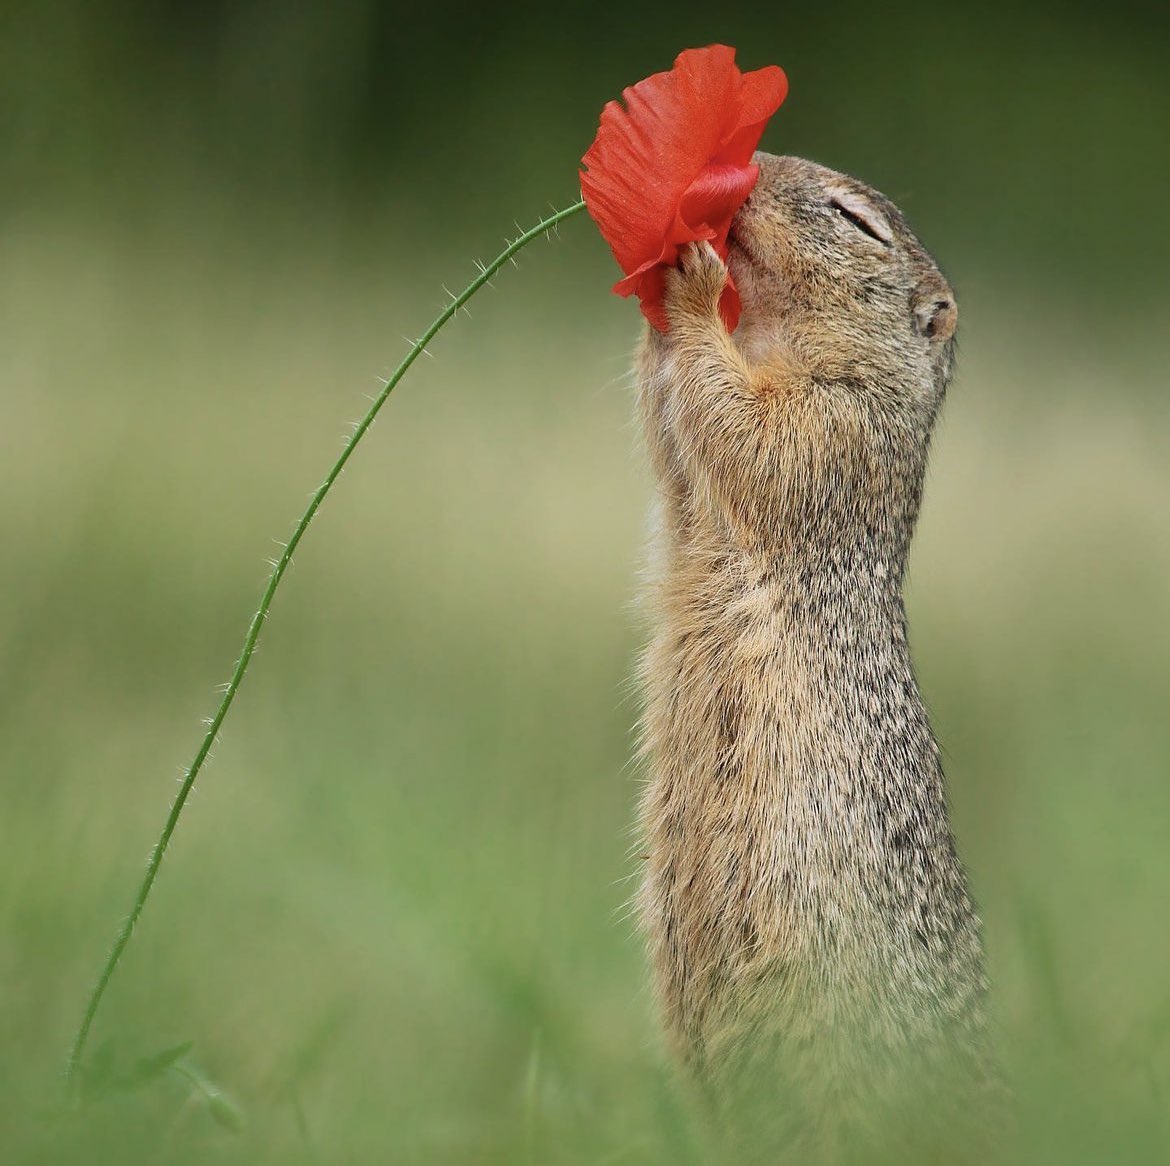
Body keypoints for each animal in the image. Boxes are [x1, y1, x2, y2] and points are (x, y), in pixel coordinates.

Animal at [636, 152, 1001, 1155]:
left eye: (855, 220)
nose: (749, 166)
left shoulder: (839, 428)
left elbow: (750, 433)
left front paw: (691, 288)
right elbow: (676, 445)